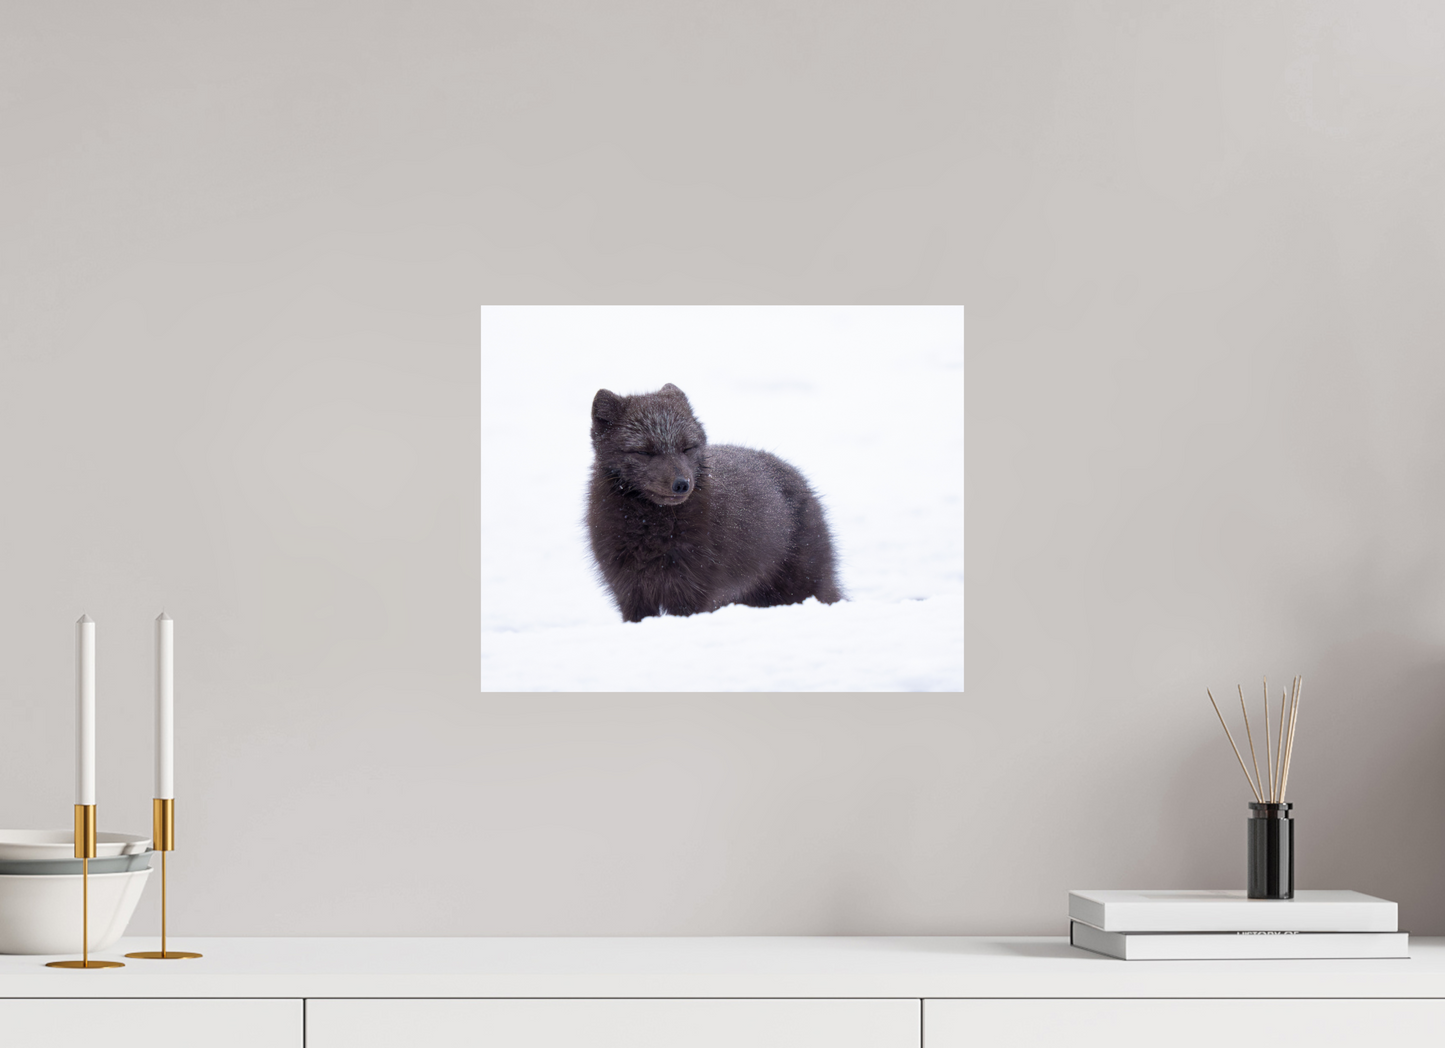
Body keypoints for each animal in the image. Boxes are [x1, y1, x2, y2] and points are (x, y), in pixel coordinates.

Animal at [586, 383, 842, 623]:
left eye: (687, 447)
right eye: (644, 451)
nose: (682, 484)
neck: (652, 531)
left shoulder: (692, 591)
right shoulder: (630, 591)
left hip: (800, 585)